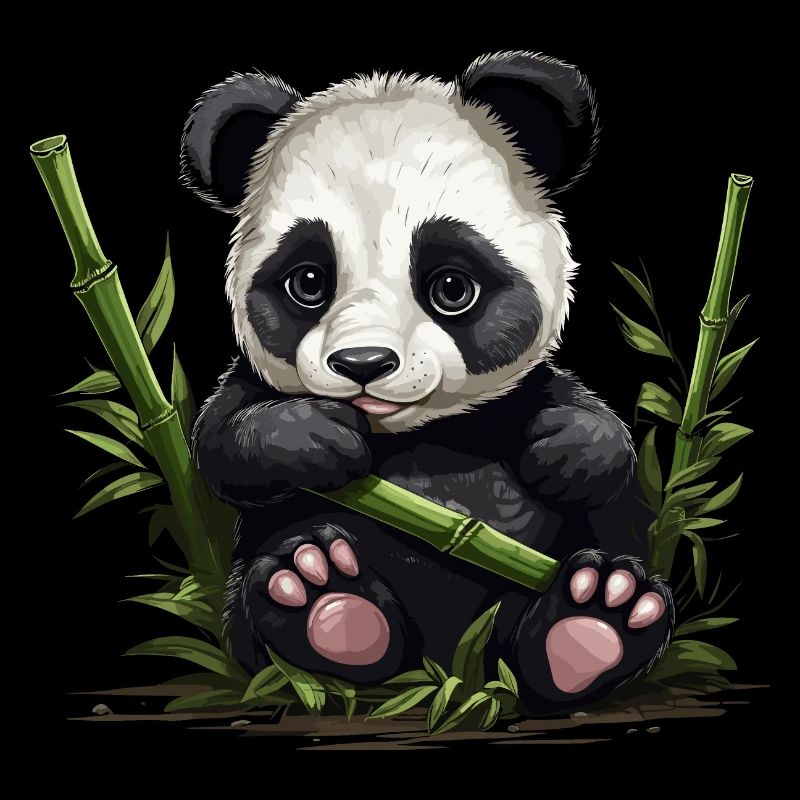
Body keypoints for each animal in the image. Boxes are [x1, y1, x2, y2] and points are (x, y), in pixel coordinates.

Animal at [181, 51, 673, 712]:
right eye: (307, 282)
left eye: (451, 287)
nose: (364, 364)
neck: (413, 434)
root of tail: (442, 676)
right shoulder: (247, 389)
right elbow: (220, 440)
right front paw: (317, 437)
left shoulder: (518, 394)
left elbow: (594, 431)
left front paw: (568, 448)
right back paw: (326, 604)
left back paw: (595, 622)